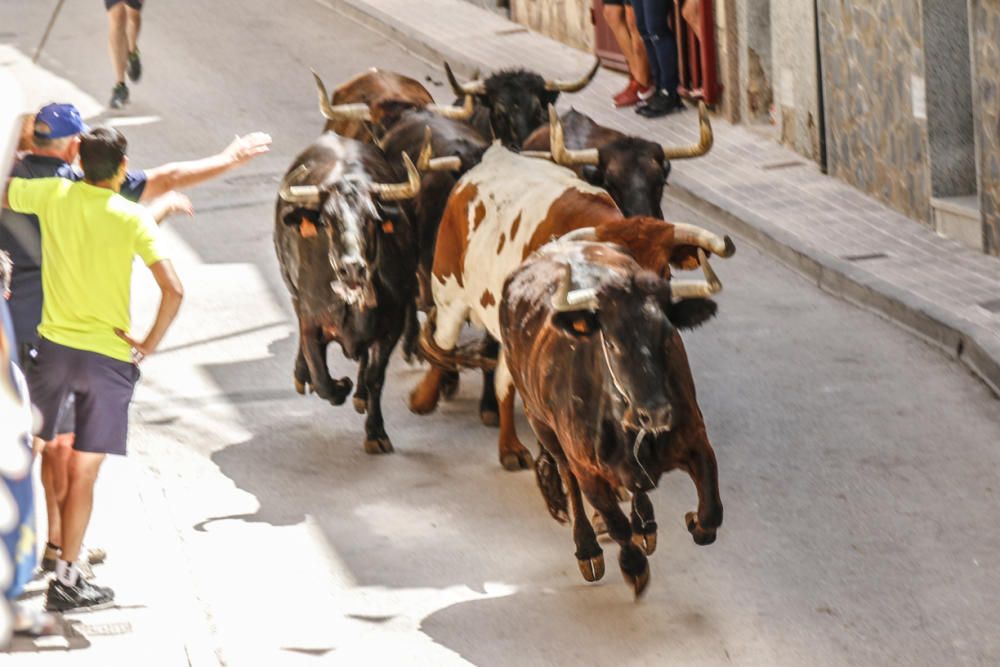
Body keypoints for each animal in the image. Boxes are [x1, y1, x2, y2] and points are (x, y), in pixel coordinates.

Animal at [504, 241, 724, 600]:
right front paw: (633, 567)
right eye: (611, 341)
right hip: (542, 425)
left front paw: (692, 520)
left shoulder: (697, 440)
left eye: (668, 335)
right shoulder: (586, 468)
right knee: (567, 478)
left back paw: (646, 525)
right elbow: (614, 522)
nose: (656, 412)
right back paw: (588, 549)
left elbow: (711, 513)